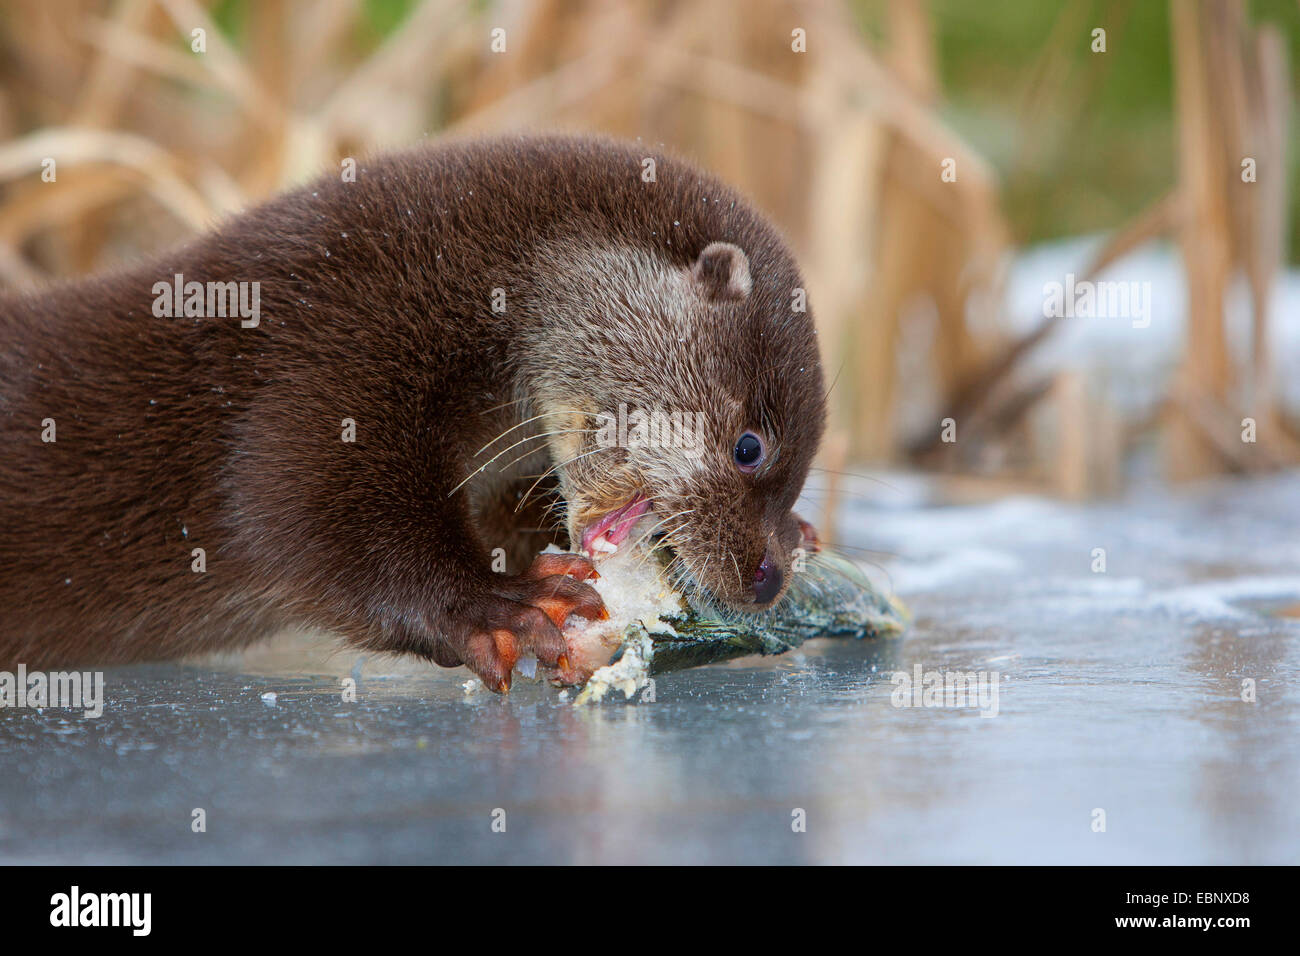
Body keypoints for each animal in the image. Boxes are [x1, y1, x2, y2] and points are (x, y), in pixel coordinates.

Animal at [0, 132, 826, 686]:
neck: (461, 278)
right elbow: (294, 509)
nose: (766, 579)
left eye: (792, 480)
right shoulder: (326, 366)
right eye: (751, 447)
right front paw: (499, 605)